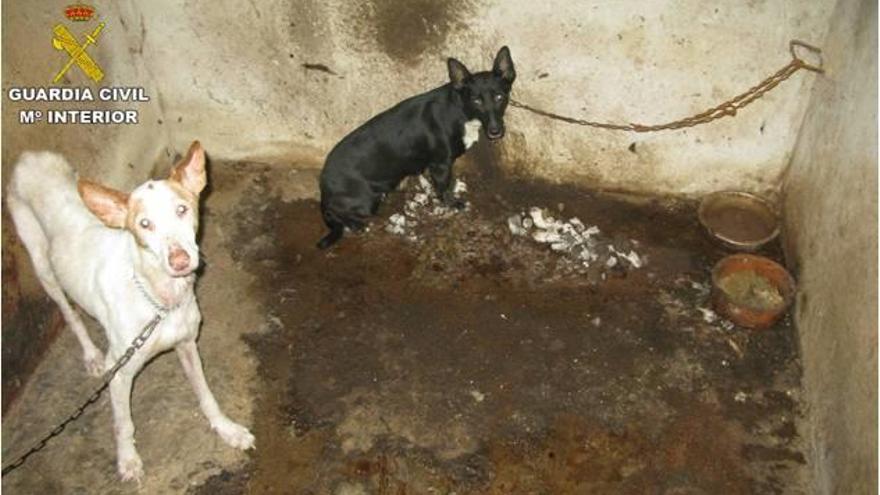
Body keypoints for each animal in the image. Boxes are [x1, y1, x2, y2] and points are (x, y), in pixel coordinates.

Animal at [6, 141, 254, 482]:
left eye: (182, 209)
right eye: (144, 224)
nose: (179, 261)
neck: (160, 301)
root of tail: (29, 157)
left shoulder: (187, 344)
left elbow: (206, 395)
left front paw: (227, 429)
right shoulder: (120, 371)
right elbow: (123, 424)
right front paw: (128, 460)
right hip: (41, 264)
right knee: (69, 313)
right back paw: (90, 355)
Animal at [316, 46, 516, 250]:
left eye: (500, 97)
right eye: (476, 100)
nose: (495, 131)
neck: (460, 110)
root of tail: (324, 189)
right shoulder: (440, 165)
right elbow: (443, 189)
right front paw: (453, 204)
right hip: (365, 201)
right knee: (337, 214)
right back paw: (357, 225)